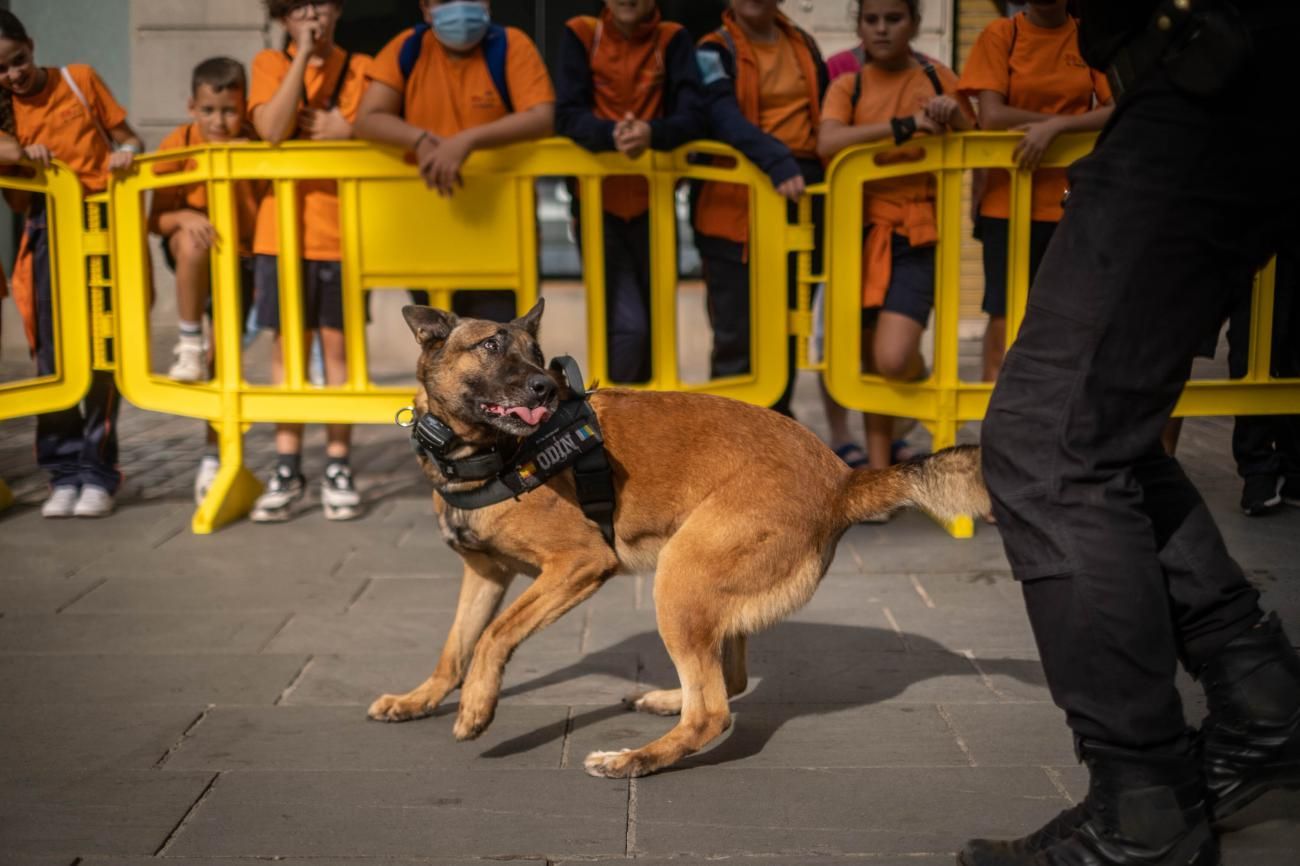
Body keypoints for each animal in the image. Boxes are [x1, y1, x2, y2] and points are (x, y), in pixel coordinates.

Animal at [371, 299, 987, 774]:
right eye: (492, 346)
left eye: (537, 355)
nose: (545, 388)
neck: (492, 453)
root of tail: (843, 479)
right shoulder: (485, 574)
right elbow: (455, 646)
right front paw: (421, 699)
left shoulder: (579, 565)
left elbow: (493, 637)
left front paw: (477, 709)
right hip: (705, 587)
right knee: (728, 680)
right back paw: (666, 702)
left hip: (679, 577)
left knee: (712, 710)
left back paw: (635, 760)